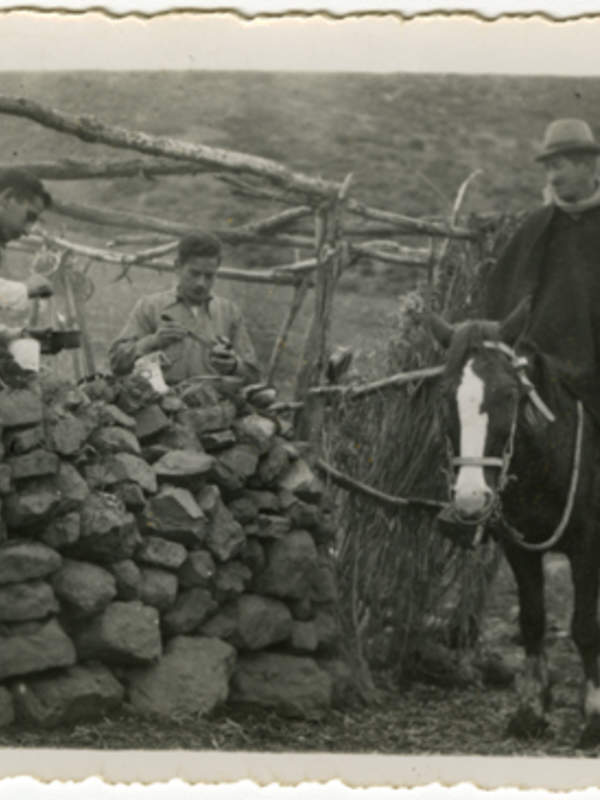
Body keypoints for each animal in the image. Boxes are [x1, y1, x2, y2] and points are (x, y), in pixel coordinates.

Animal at [428, 298, 600, 744]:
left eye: (509, 394)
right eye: (444, 395)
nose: (471, 498)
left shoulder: (588, 547)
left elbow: (584, 627)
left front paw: (593, 714)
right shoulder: (519, 547)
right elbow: (533, 621)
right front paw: (531, 709)